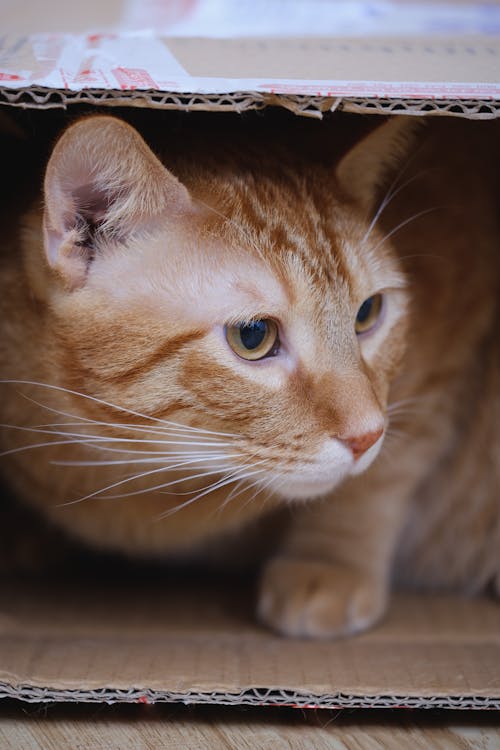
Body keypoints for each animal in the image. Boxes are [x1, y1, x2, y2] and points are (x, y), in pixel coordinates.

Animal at [0, 113, 498, 640]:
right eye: (254, 336)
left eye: (368, 313)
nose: (367, 436)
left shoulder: (454, 331)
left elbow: (389, 466)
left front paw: (330, 560)